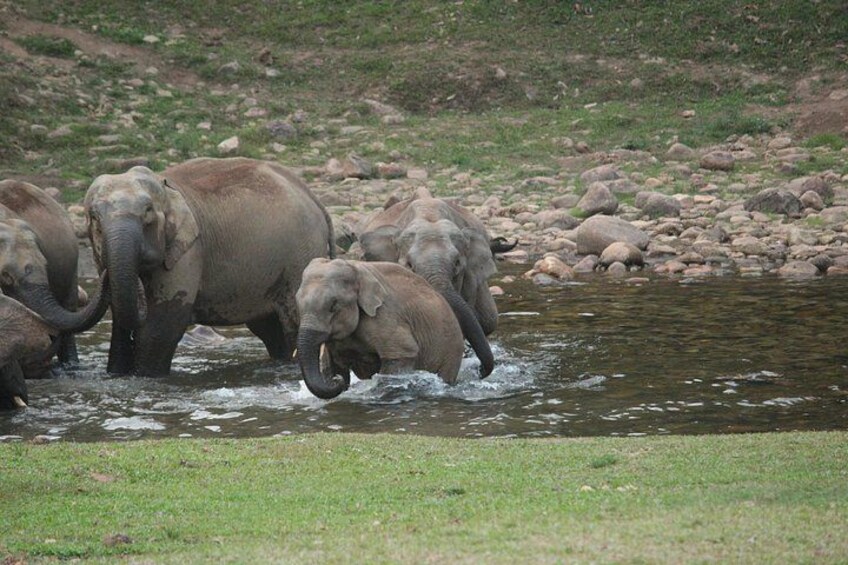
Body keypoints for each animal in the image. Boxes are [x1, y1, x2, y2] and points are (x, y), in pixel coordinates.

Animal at [84, 157, 335, 376]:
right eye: (94, 217)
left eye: (147, 212)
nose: (105, 275)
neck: (166, 186)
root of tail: (314, 198)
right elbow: (120, 320)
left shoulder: (189, 251)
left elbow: (162, 325)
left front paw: (145, 376)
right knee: (271, 330)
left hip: (300, 256)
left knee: (291, 325)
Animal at [296, 258, 465, 399]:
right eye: (297, 302)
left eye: (333, 305)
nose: (336, 381)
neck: (355, 267)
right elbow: (334, 363)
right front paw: (339, 378)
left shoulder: (384, 316)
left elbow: (402, 353)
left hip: (450, 350)